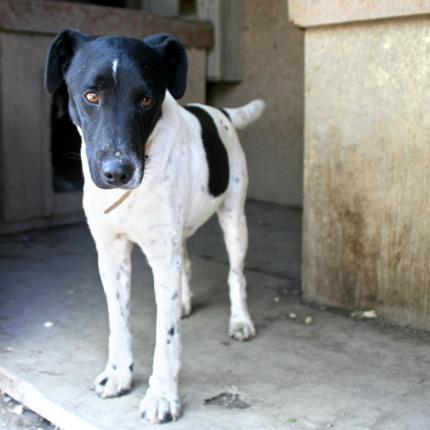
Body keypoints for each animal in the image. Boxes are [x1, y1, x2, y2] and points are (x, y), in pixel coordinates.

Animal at [44, 30, 266, 424]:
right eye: (90, 95)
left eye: (147, 99)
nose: (118, 173)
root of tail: (219, 111)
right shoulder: (111, 254)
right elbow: (119, 321)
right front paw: (118, 374)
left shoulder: (162, 258)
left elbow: (167, 336)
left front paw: (162, 395)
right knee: (187, 262)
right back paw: (186, 301)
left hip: (234, 220)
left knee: (236, 274)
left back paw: (240, 320)